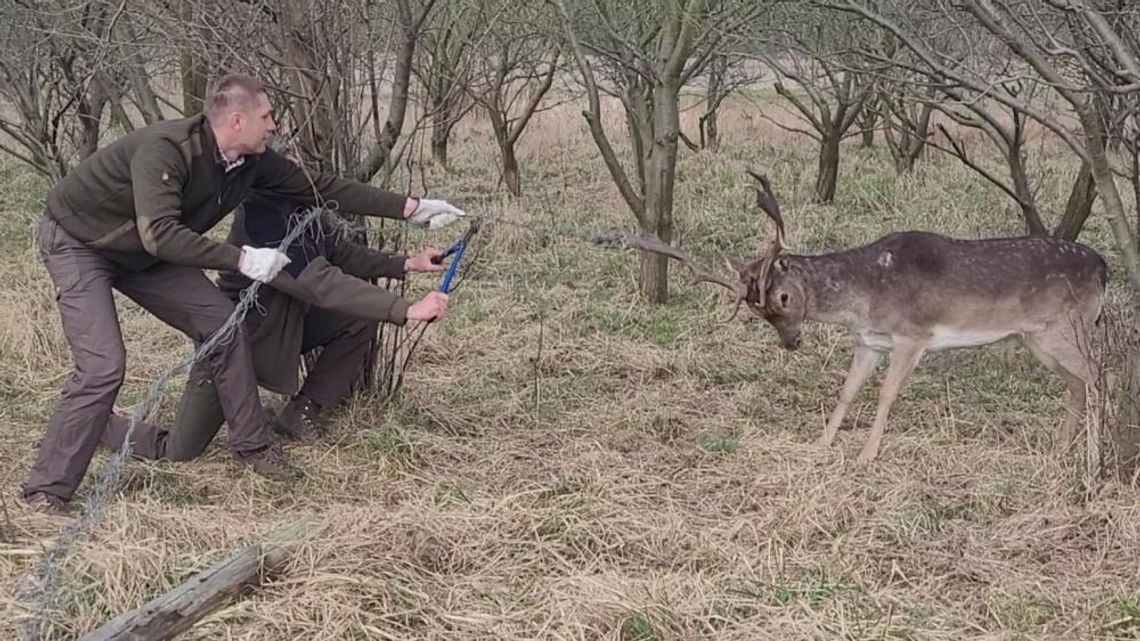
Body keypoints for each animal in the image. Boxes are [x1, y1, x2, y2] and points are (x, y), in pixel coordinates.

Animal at [620, 167, 1108, 460]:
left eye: (782, 298)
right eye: (758, 314)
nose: (791, 343)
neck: (866, 296)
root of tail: (1106, 269)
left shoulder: (913, 335)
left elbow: (887, 393)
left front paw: (867, 454)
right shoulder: (868, 341)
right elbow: (847, 391)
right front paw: (822, 440)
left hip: (1069, 326)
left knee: (1101, 375)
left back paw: (1095, 452)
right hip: (1035, 339)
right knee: (1078, 384)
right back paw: (1062, 447)